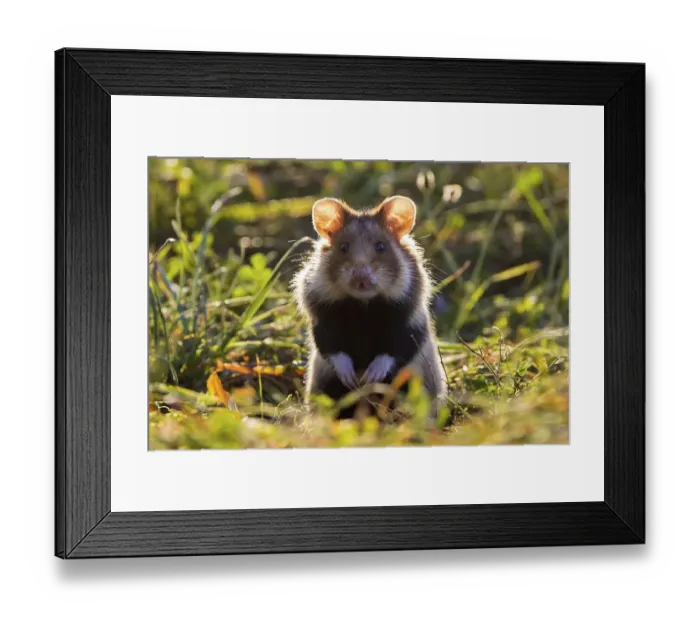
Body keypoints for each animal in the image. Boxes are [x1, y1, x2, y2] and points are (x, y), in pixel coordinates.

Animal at [292, 195, 447, 419]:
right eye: (344, 247)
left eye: (380, 246)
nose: (361, 277)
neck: (363, 304)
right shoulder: (322, 322)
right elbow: (333, 349)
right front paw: (351, 379)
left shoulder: (411, 325)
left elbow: (393, 350)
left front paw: (370, 378)